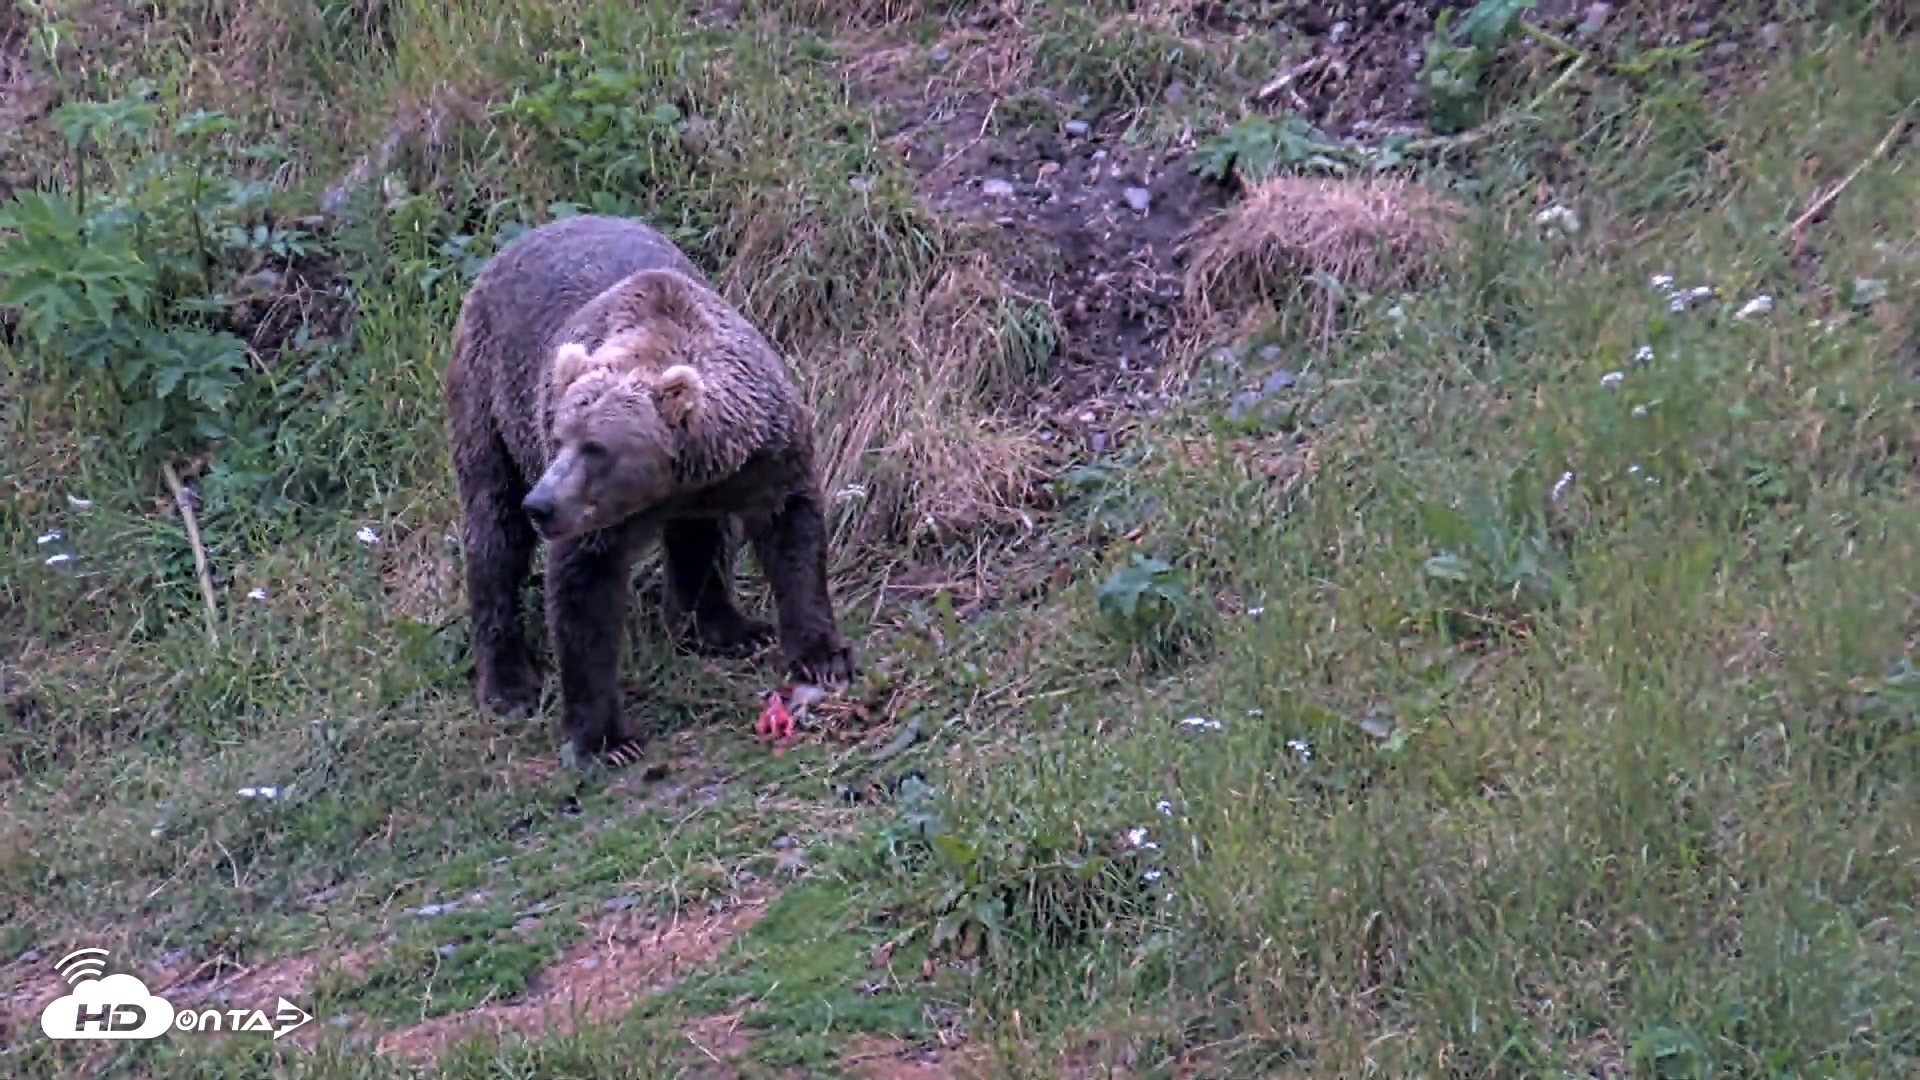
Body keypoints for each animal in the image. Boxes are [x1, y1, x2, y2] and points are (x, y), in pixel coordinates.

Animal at [442, 213, 858, 768]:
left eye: (595, 446)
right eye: (559, 436)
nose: (543, 505)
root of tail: (514, 244)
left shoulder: (764, 456)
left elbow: (792, 534)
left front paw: (823, 655)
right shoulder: (594, 519)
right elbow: (584, 596)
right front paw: (605, 739)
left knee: (700, 538)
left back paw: (727, 627)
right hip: (486, 399)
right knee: (494, 533)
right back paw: (508, 684)